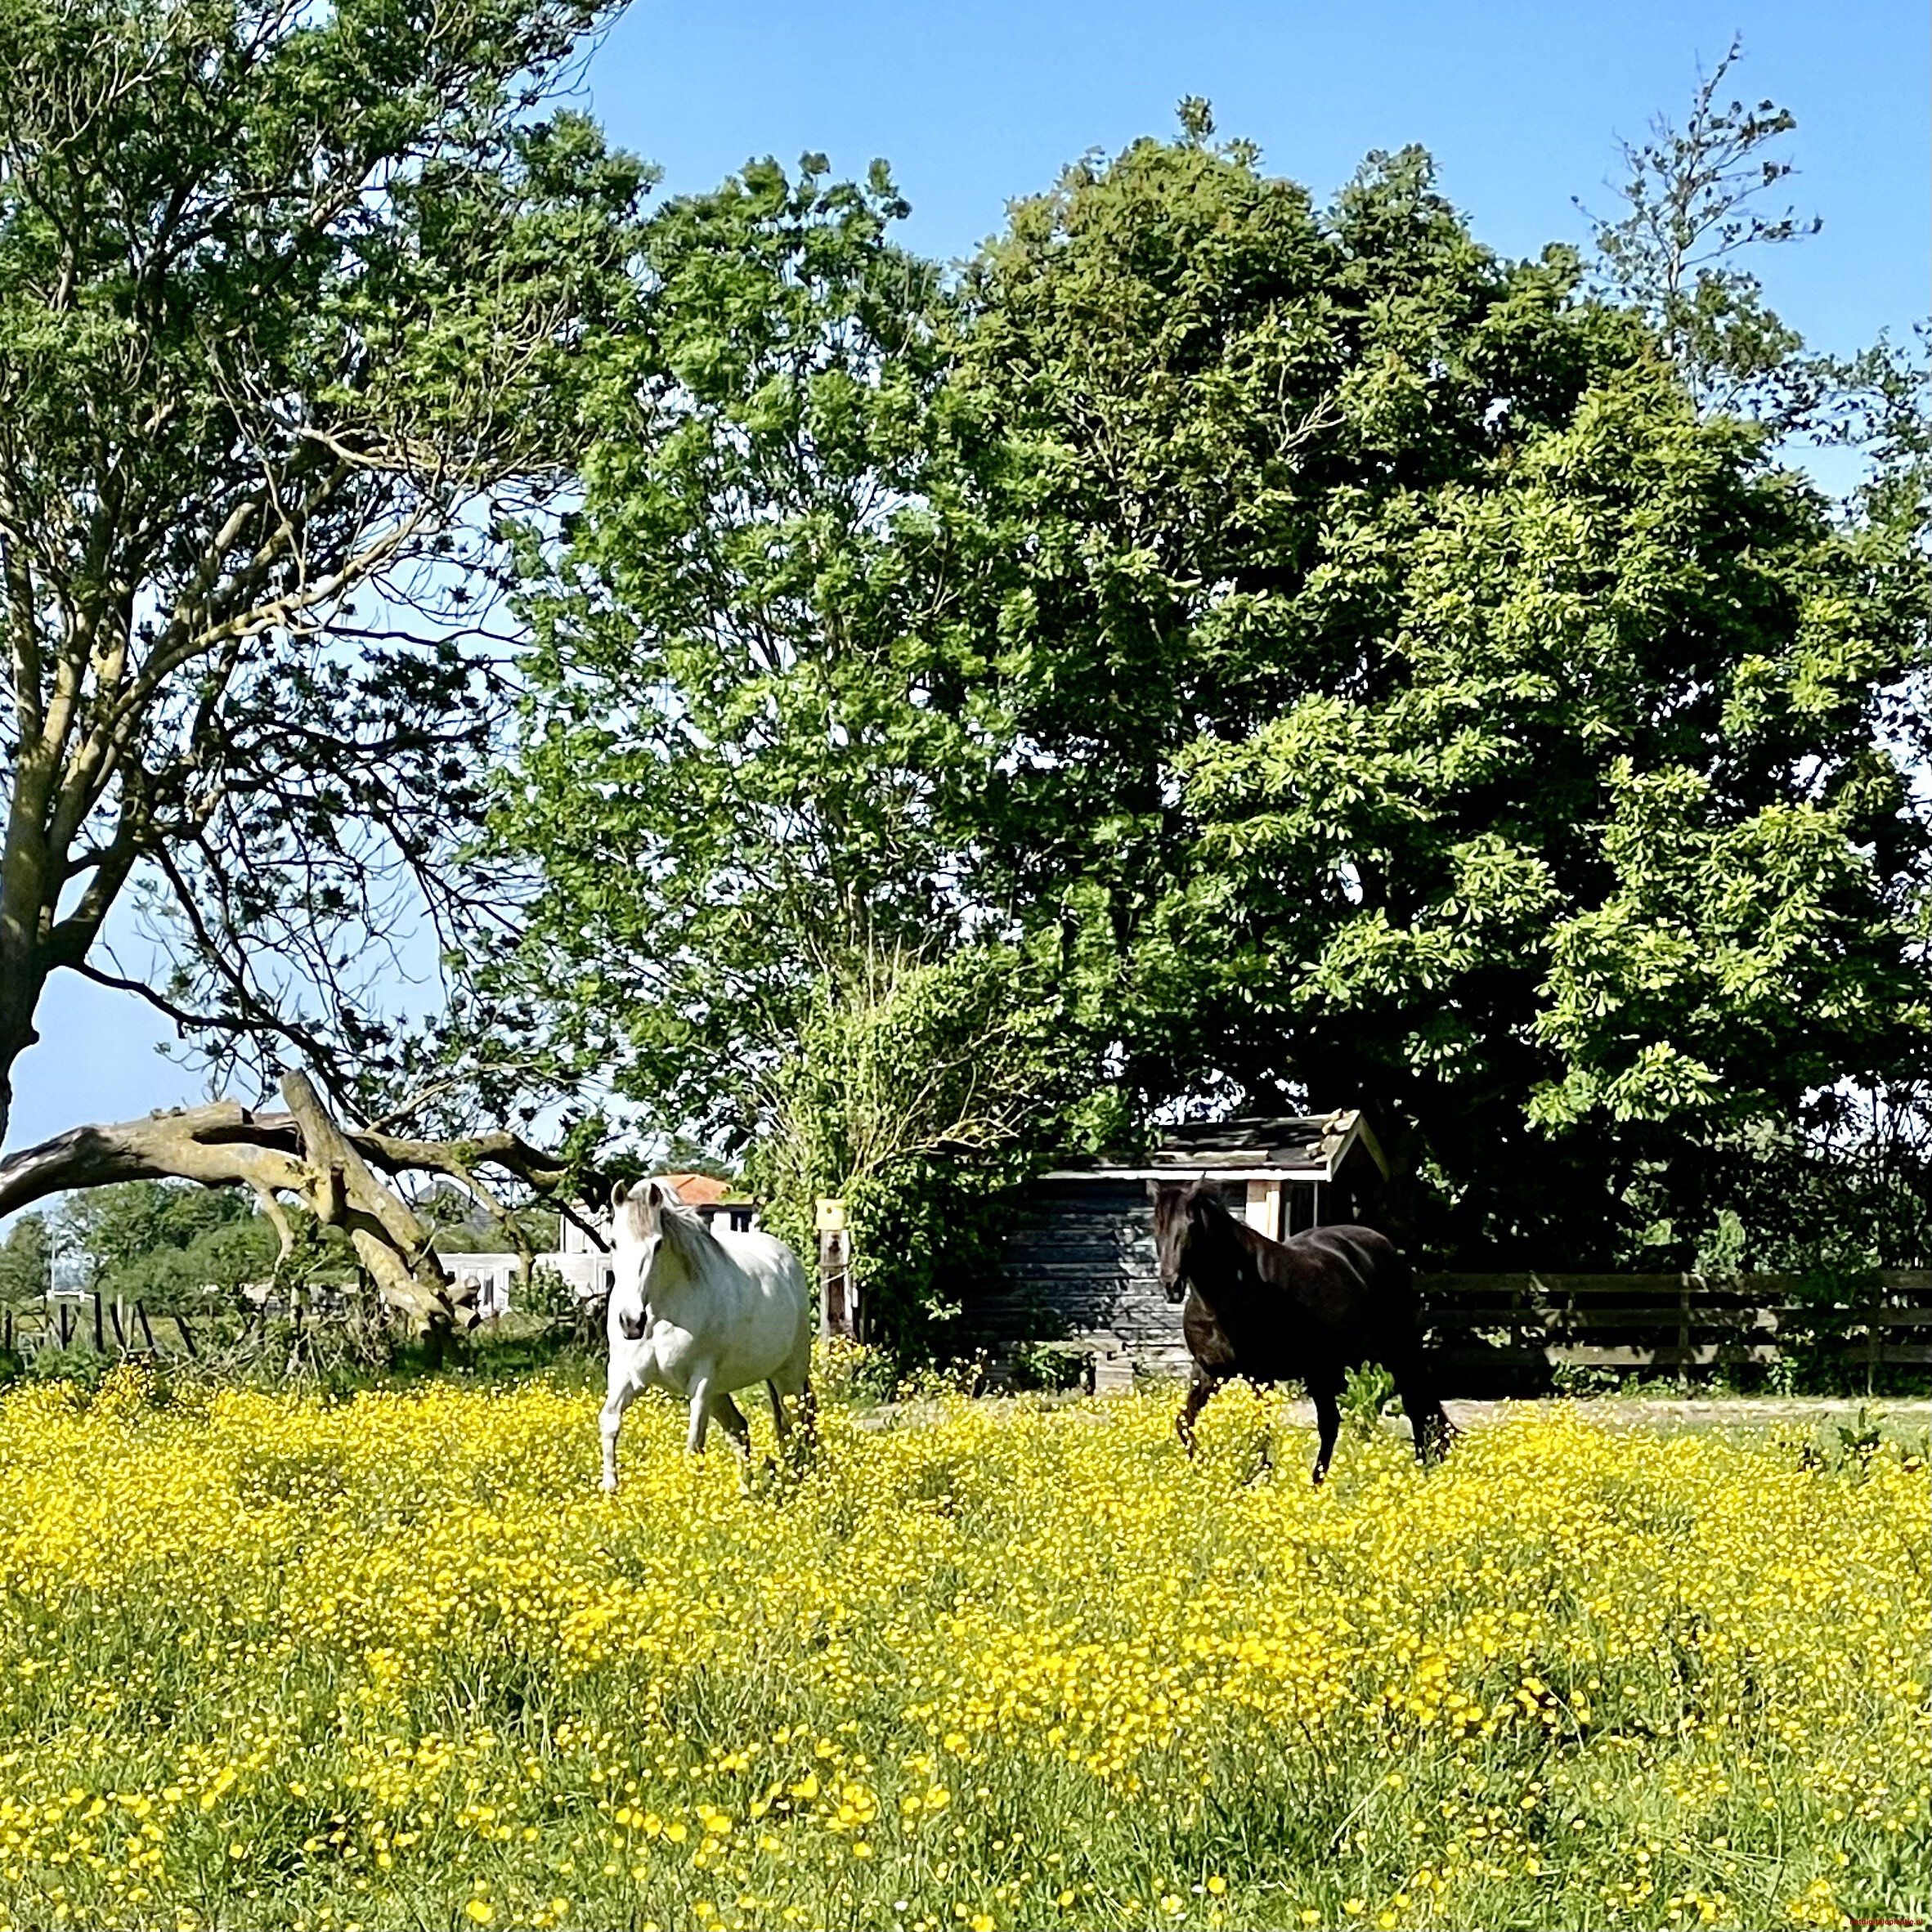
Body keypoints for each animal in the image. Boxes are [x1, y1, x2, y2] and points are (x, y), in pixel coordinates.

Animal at [603, 1174, 815, 1491]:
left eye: (658, 1244)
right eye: (613, 1242)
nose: (631, 1321)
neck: (659, 1316)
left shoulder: (700, 1382)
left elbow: (694, 1445)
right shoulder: (625, 1375)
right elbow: (610, 1423)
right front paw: (609, 1489)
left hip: (788, 1375)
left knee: (798, 1428)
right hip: (721, 1390)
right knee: (740, 1429)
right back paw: (746, 1491)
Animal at [1143, 1174, 1452, 1476]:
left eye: (1192, 1225)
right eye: (1155, 1225)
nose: (1171, 1285)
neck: (1223, 1295)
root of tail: (1385, 1247)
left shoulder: (1260, 1376)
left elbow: (1261, 1432)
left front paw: (1257, 1477)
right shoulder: (1208, 1371)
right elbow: (1184, 1422)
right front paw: (1202, 1469)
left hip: (1394, 1348)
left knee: (1416, 1404)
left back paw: (1424, 1466)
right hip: (1323, 1368)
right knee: (1332, 1424)